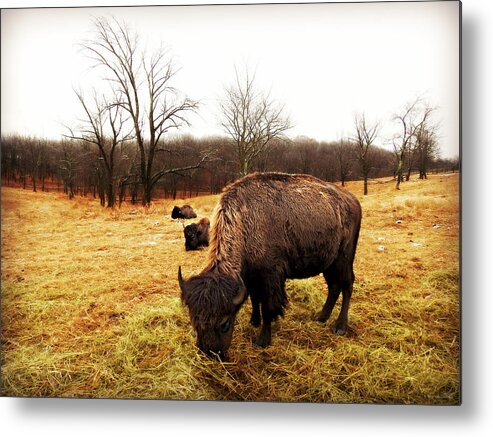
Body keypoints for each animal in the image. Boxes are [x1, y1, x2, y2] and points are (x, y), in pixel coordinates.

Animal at [178, 172, 362, 360]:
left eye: (225, 323)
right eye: (194, 321)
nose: (211, 353)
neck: (245, 219)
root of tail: (352, 200)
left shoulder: (270, 276)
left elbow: (268, 306)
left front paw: (262, 340)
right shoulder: (251, 276)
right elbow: (254, 298)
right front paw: (254, 321)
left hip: (344, 259)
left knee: (347, 285)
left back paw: (340, 327)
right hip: (329, 263)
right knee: (334, 287)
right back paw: (321, 317)